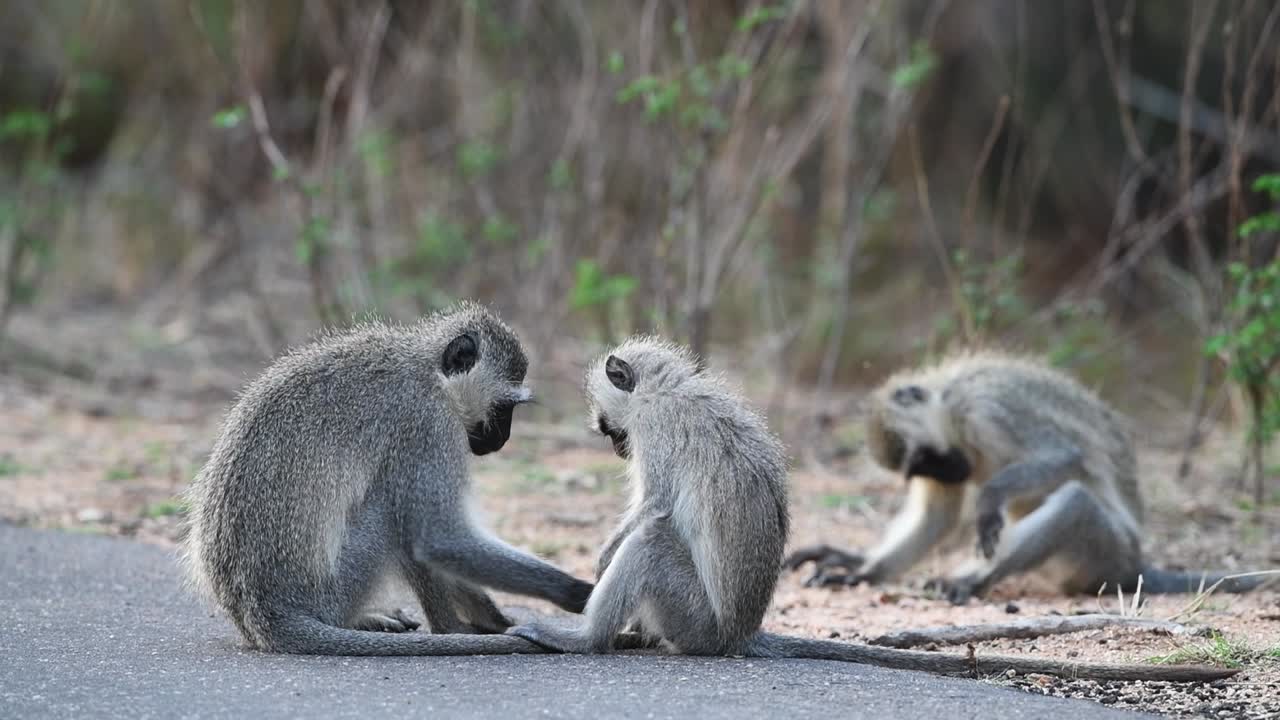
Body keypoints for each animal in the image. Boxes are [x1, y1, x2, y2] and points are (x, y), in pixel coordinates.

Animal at [180, 301, 594, 656]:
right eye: (503, 408)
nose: (502, 439)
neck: (429, 370)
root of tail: (263, 614)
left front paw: (495, 616)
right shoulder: (427, 424)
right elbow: (438, 537)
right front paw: (577, 591)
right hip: (331, 593)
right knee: (392, 512)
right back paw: (449, 628)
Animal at [786, 349, 1275, 605]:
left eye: (926, 457)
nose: (953, 470)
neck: (949, 398)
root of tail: (1134, 567)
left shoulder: (985, 409)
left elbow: (1064, 455)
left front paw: (990, 498)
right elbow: (937, 518)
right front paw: (861, 570)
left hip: (1106, 556)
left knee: (1077, 501)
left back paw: (971, 581)